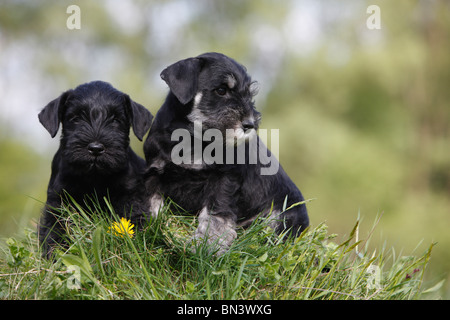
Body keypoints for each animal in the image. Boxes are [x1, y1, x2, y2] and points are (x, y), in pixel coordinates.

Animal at [37, 80, 153, 258]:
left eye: (116, 119)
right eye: (76, 118)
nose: (96, 148)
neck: (94, 177)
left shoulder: (130, 195)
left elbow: (133, 216)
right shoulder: (58, 201)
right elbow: (54, 230)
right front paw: (54, 255)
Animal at [144, 52, 310, 255]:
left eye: (249, 94)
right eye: (222, 90)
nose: (250, 124)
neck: (193, 139)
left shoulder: (224, 179)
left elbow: (216, 214)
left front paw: (209, 244)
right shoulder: (155, 172)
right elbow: (152, 202)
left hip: (281, 215)